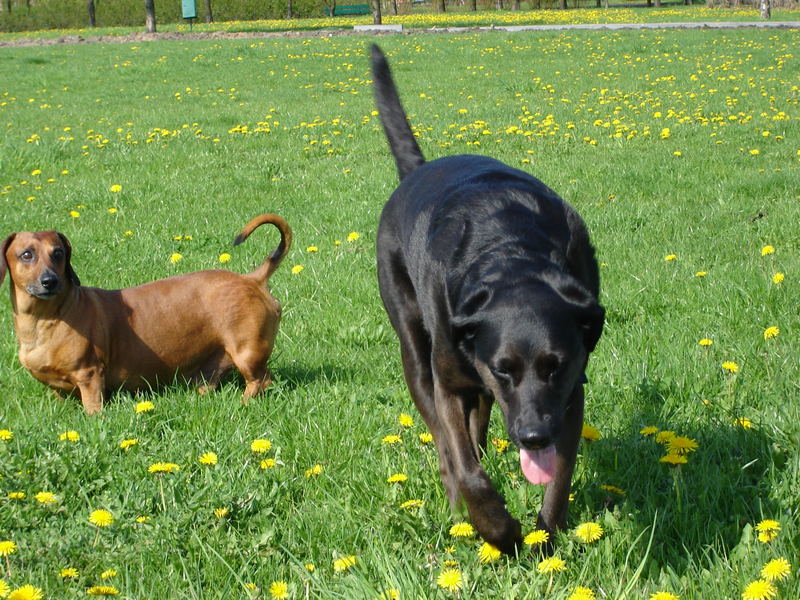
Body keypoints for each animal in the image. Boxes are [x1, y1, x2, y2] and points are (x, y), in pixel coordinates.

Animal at [372, 44, 604, 556]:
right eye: (504, 368)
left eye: (556, 366)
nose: (533, 436)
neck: (513, 253)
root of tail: (418, 170)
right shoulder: (451, 381)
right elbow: (466, 466)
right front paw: (499, 531)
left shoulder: (569, 394)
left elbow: (559, 479)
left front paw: (543, 537)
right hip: (416, 349)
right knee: (448, 442)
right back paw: (459, 505)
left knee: (477, 425)